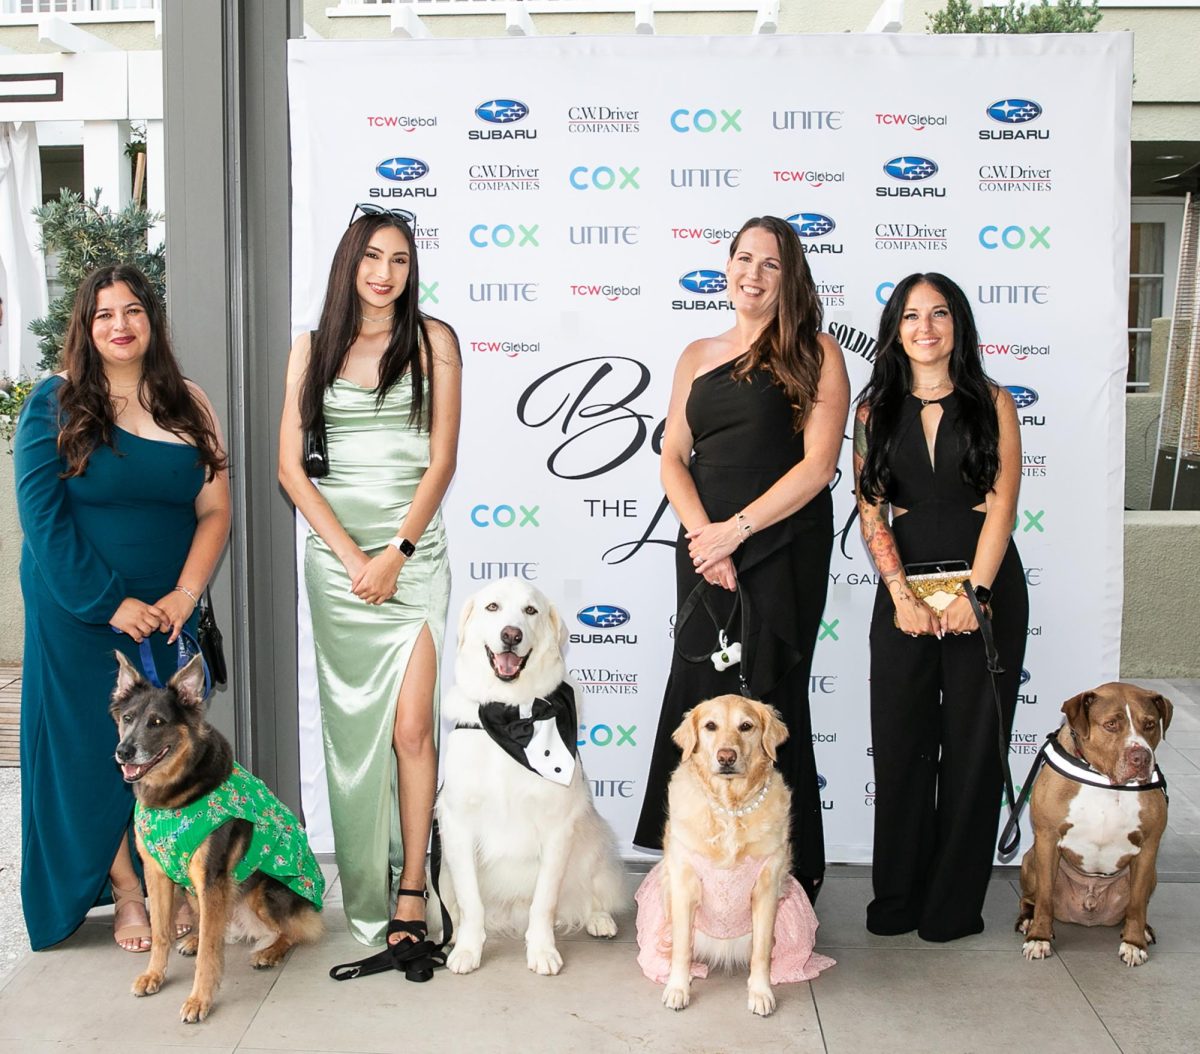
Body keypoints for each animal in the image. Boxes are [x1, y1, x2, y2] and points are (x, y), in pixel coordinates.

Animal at [108, 653, 321, 1022]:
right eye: (128, 718)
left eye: (158, 722)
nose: (124, 751)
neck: (175, 798)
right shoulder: (157, 873)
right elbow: (161, 931)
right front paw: (154, 975)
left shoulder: (212, 877)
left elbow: (210, 950)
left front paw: (199, 1000)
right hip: (197, 892)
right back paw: (194, 938)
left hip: (264, 888)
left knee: (292, 931)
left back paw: (269, 952)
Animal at [439, 581, 628, 979]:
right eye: (492, 607)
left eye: (530, 611)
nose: (511, 635)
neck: (512, 718)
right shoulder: (458, 824)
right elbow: (471, 902)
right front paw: (467, 949)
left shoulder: (557, 827)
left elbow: (544, 902)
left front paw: (542, 951)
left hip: (595, 843)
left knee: (594, 891)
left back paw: (599, 918)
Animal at [638, 696, 835, 1017]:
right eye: (710, 726)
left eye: (746, 726)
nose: (726, 757)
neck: (731, 808)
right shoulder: (683, 886)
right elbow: (682, 947)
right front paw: (677, 989)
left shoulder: (766, 889)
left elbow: (762, 952)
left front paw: (761, 992)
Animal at [1012, 681, 1171, 969]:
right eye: (1111, 724)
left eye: (1150, 724)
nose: (1141, 757)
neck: (1106, 781)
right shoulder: (1047, 839)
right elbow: (1044, 899)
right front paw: (1039, 938)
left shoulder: (1149, 846)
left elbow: (1138, 904)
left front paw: (1133, 944)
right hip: (1030, 860)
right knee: (1031, 898)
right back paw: (1028, 919)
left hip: (1150, 873)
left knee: (1136, 904)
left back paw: (1142, 929)